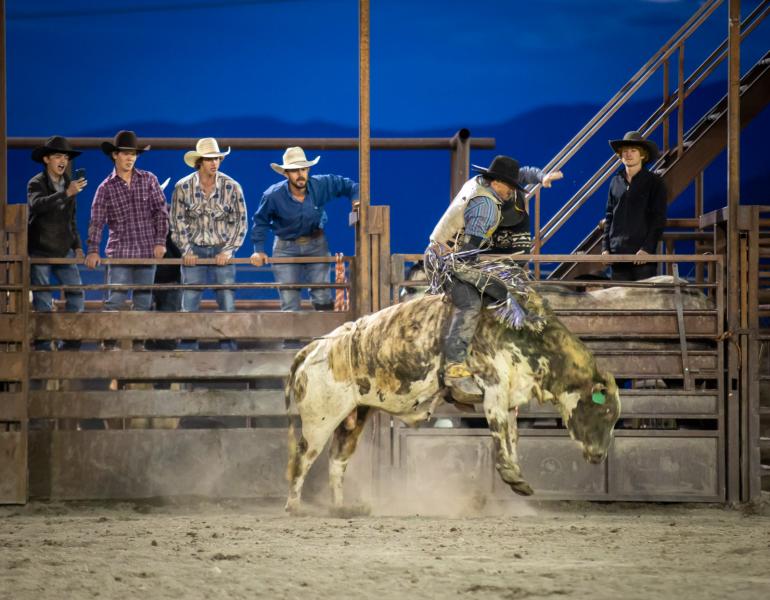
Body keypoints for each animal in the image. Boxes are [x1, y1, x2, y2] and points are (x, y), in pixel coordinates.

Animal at [282, 290, 616, 510]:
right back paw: (294, 507)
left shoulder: (510, 397)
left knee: (337, 461)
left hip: (354, 417)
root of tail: (312, 349)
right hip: (319, 421)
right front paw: (511, 475)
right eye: (605, 412)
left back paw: (341, 508)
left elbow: (511, 436)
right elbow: (499, 432)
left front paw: (516, 476)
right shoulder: (493, 388)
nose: (600, 456)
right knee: (303, 458)